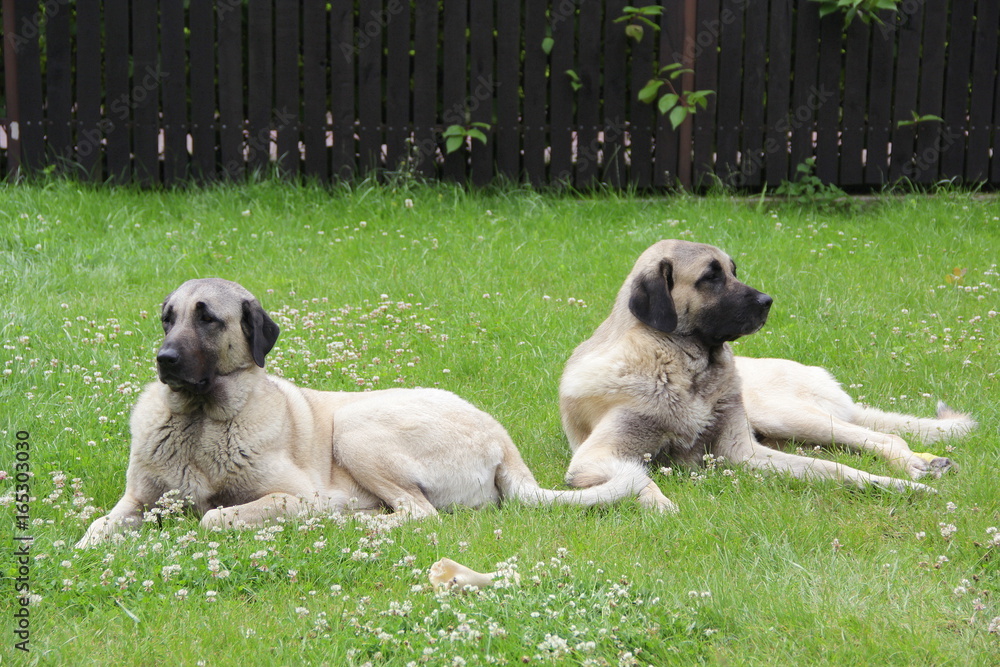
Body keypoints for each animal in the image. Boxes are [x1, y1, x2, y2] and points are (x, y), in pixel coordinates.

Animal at [76, 278, 640, 548]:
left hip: (357, 428)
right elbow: (100, 527)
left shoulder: (294, 496)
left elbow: (215, 517)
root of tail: (501, 439)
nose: (165, 359)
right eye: (167, 319)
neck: (198, 420)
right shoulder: (136, 501)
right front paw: (82, 547)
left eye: (207, 318)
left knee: (419, 514)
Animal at [564, 240, 968, 512]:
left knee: (883, 438)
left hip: (783, 415)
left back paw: (915, 467)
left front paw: (893, 486)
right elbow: (637, 479)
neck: (688, 369)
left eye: (733, 271)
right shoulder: (593, 457)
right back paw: (929, 462)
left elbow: (835, 468)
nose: (768, 301)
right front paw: (660, 504)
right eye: (710, 277)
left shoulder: (741, 452)